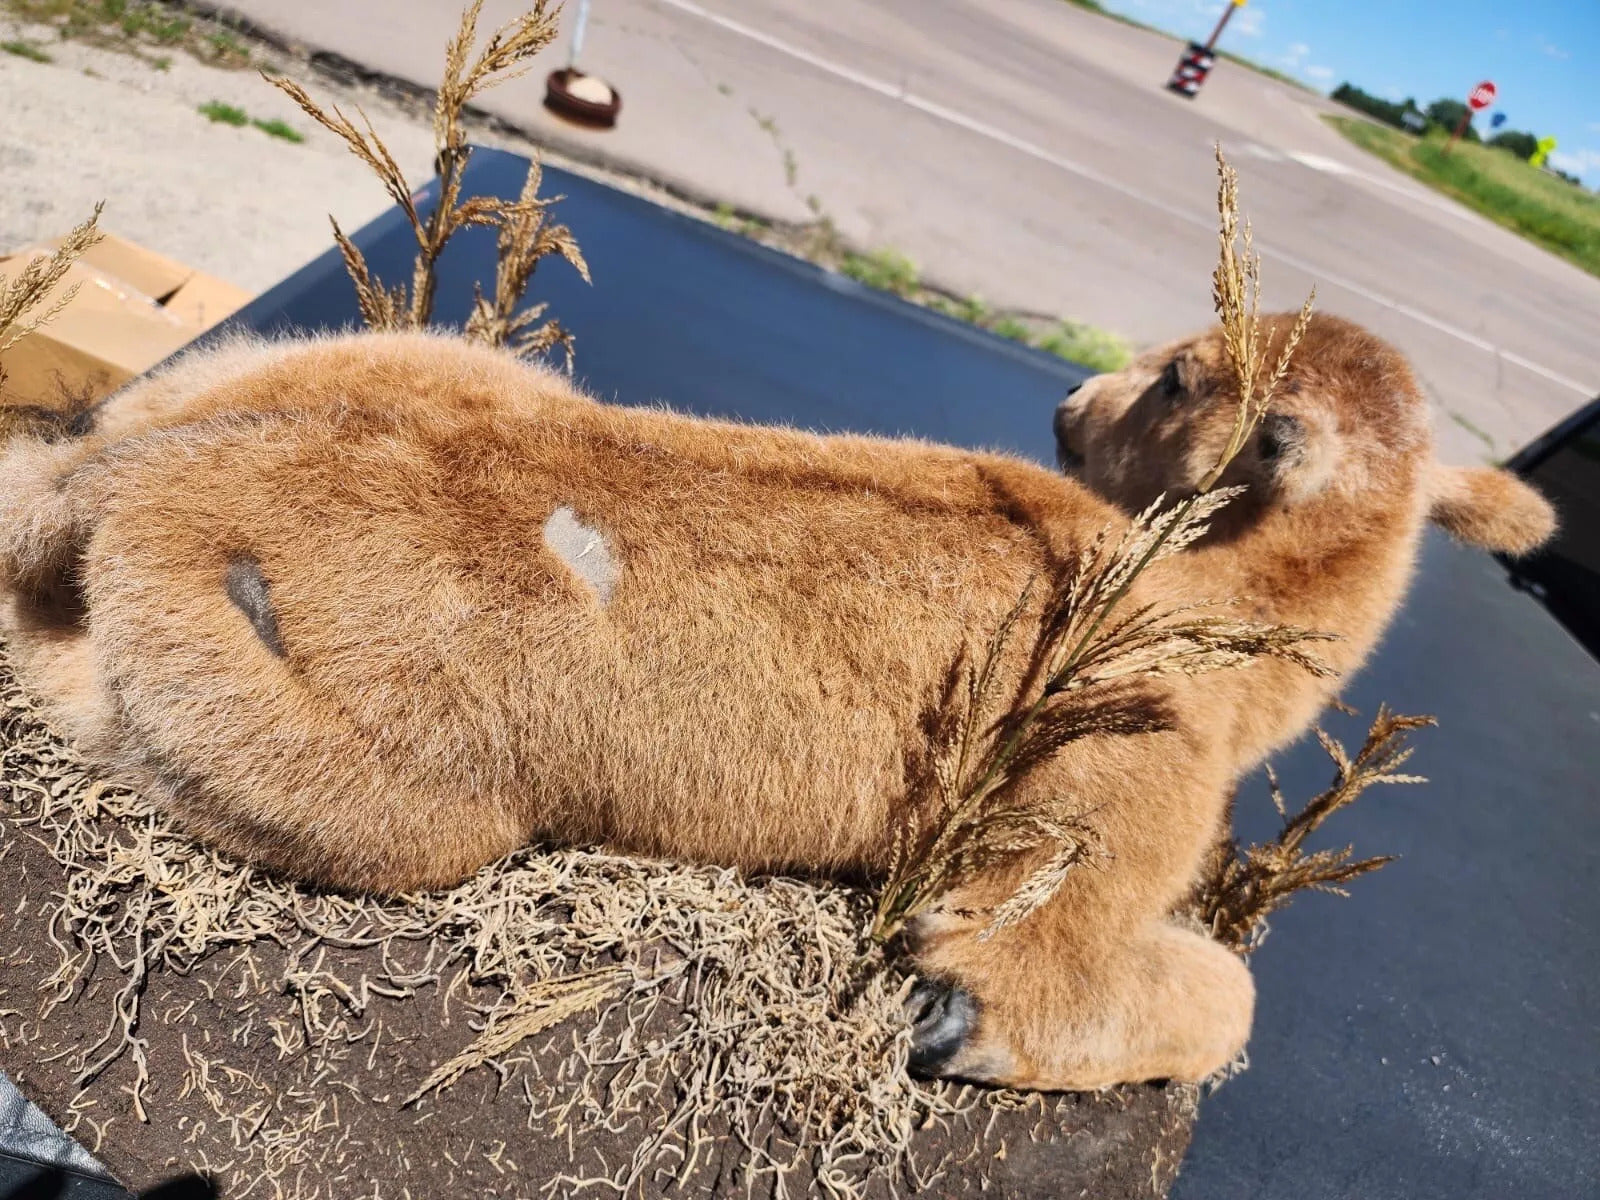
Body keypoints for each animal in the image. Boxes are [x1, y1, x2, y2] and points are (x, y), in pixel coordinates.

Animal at [0, 315, 1548, 1094]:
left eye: (1173, 379)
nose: (1062, 404)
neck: (1184, 598)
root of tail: (143, 473)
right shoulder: (1109, 808)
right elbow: (1174, 990)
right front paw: (949, 1026)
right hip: (366, 789)